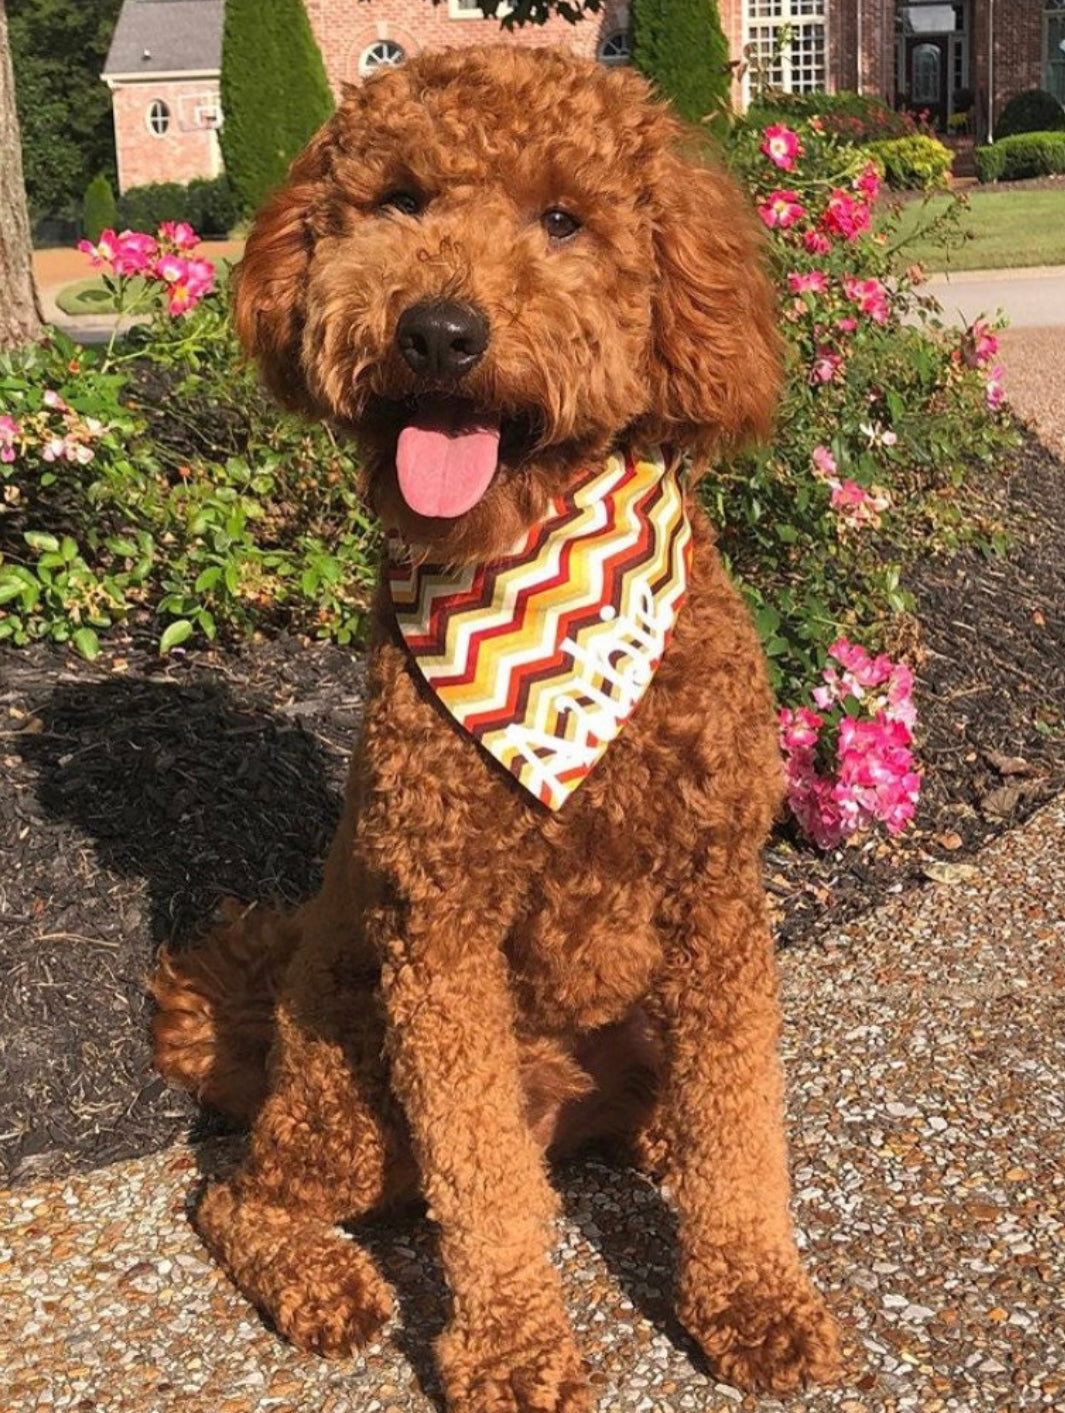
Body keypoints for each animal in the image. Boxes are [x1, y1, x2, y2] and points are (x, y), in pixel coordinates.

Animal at [149, 41, 841, 1401]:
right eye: (401, 200)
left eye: (564, 218)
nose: (438, 329)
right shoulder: (442, 933)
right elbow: (480, 1182)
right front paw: (516, 1346)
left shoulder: (717, 898)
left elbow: (743, 1126)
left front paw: (754, 1294)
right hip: (354, 1089)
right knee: (240, 1198)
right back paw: (323, 1283)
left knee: (665, 1118)